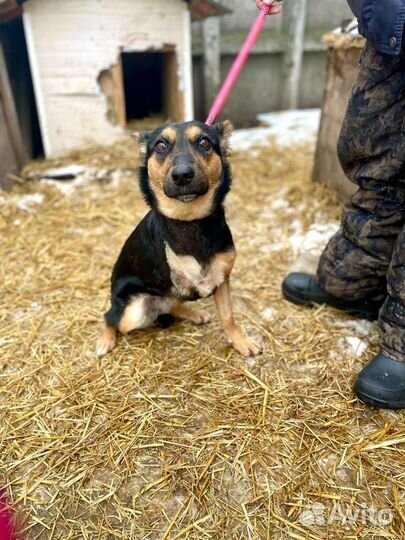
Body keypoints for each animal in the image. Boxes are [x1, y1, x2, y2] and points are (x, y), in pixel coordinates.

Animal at [97, 121, 262, 358]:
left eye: (204, 142)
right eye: (160, 146)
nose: (182, 175)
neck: (190, 220)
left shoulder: (222, 278)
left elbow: (227, 316)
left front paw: (240, 341)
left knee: (170, 305)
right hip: (134, 309)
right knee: (111, 317)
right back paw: (106, 339)